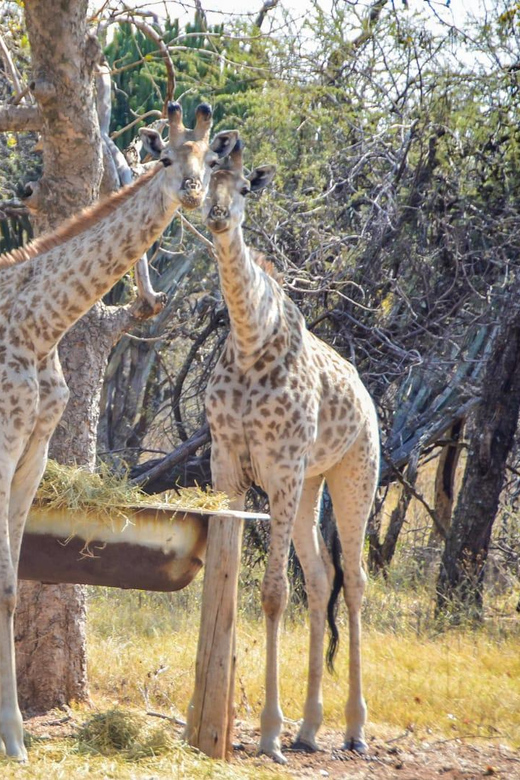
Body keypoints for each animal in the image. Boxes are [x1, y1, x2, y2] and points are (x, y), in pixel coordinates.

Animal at [0, 100, 239, 760]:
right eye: (164, 157)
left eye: (209, 158)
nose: (191, 189)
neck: (41, 323)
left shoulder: (31, 451)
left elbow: (10, 587)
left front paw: (14, 738)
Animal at [201, 143, 380, 764]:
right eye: (202, 176)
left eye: (244, 189)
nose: (216, 215)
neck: (250, 341)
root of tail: (367, 394)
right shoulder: (228, 465)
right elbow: (228, 579)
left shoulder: (279, 469)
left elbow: (275, 593)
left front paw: (267, 733)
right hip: (309, 486)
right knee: (323, 579)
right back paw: (309, 727)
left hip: (354, 474)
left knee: (355, 580)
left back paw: (353, 728)